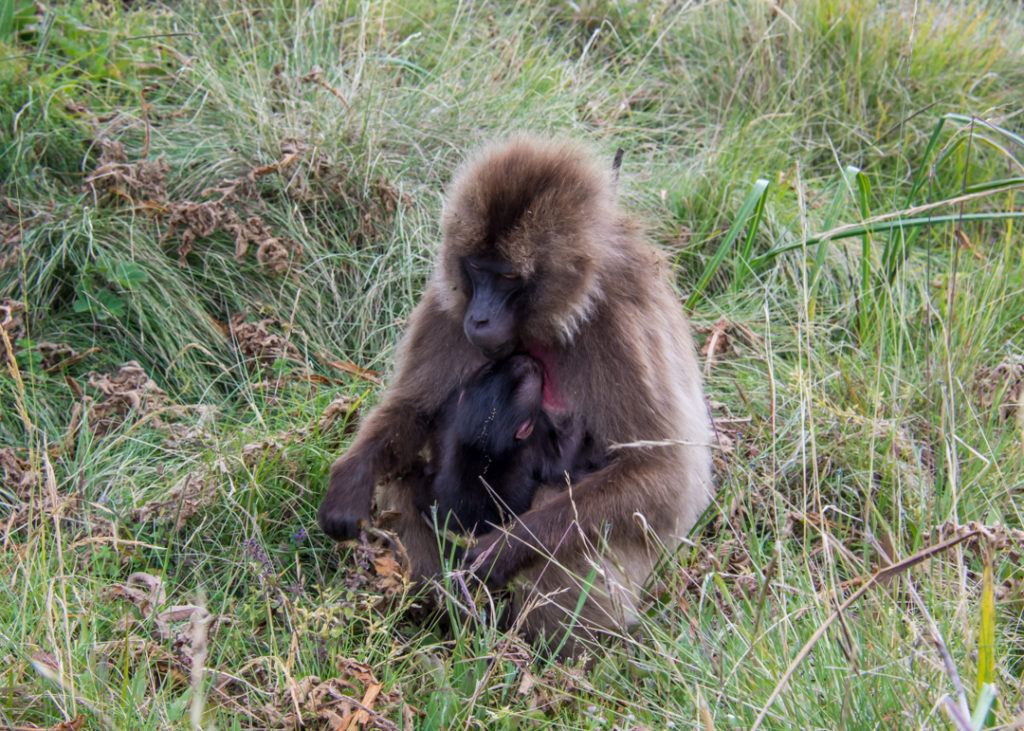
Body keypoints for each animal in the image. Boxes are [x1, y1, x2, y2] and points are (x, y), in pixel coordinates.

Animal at [317, 134, 712, 647]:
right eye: (475, 268)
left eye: (507, 277)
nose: (480, 319)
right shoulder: (446, 304)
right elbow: (413, 409)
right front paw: (349, 483)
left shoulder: (624, 325)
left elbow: (664, 471)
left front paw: (501, 551)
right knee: (404, 481)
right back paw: (444, 615)